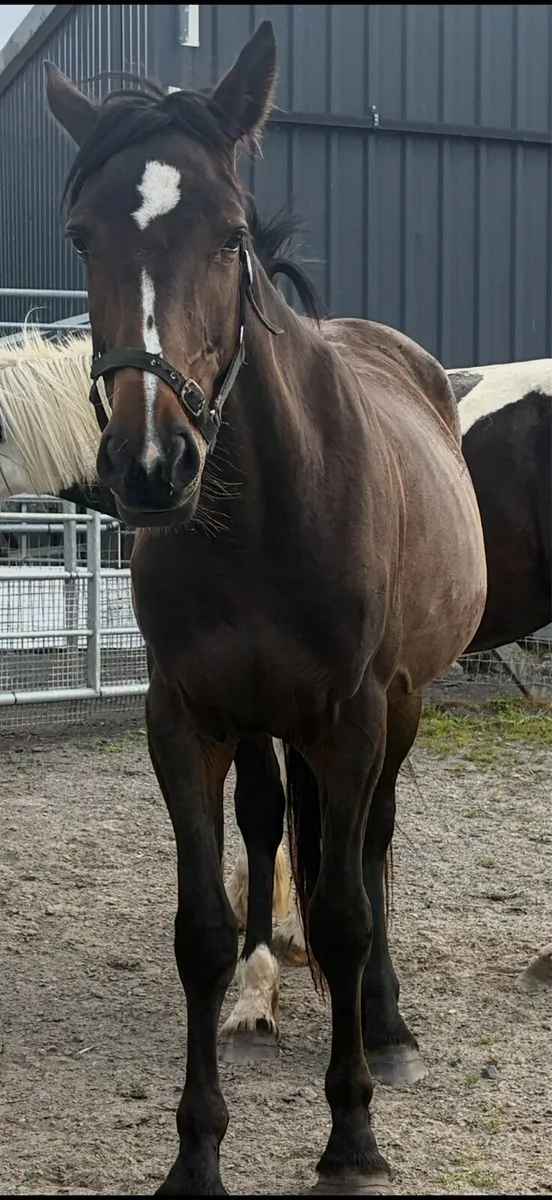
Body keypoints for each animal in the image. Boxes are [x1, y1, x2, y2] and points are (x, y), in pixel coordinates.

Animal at [45, 21, 486, 1194]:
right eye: (81, 235)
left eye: (230, 232)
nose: (152, 466)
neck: (260, 516)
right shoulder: (186, 718)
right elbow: (201, 924)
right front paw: (197, 1151)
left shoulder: (353, 714)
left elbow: (344, 910)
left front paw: (354, 1137)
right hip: (262, 723)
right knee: (272, 820)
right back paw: (262, 983)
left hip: (396, 706)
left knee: (370, 846)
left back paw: (385, 1020)